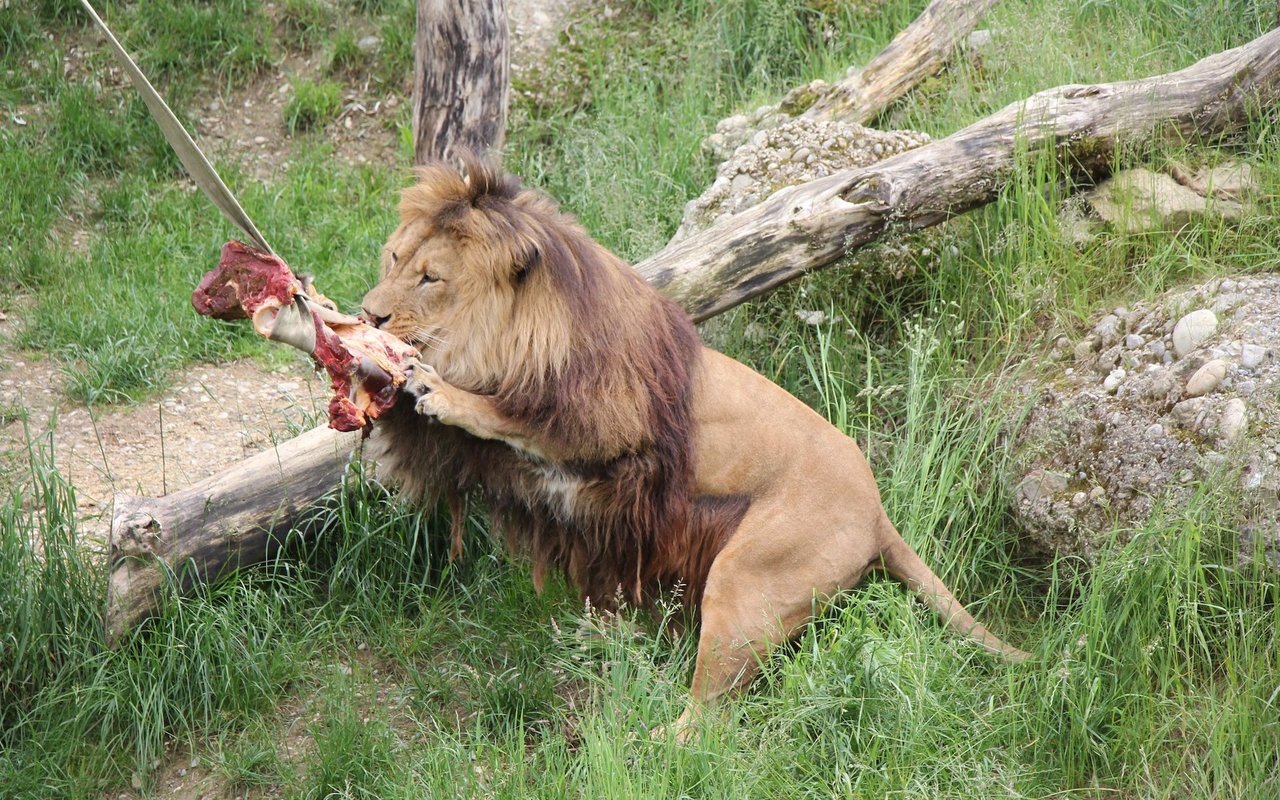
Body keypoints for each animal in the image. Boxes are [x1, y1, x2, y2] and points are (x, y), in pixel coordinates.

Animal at [360, 154, 1029, 737]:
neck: (519, 336)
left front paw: (437, 389)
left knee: (709, 721)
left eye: (431, 277)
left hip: (747, 579)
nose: (368, 315)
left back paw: (646, 743)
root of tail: (878, 514)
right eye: (393, 257)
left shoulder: (598, 421)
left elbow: (501, 416)